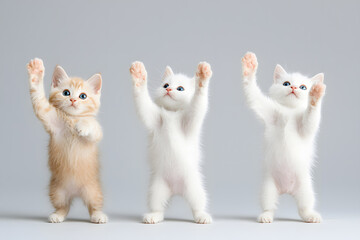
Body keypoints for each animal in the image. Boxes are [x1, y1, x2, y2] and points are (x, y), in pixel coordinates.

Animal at [27, 57, 107, 223]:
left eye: (83, 96)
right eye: (66, 92)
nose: (73, 99)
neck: (72, 118)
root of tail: (75, 192)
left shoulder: (97, 132)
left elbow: (93, 127)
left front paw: (82, 126)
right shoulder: (48, 116)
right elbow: (39, 101)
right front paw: (36, 73)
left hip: (93, 190)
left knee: (94, 205)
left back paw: (98, 215)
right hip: (57, 191)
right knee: (64, 206)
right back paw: (57, 215)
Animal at [242, 52, 326, 223]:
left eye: (303, 87)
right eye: (286, 83)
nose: (293, 88)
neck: (290, 110)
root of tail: (286, 189)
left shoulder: (306, 127)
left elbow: (311, 118)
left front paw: (315, 96)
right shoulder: (269, 112)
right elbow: (252, 95)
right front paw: (249, 66)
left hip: (305, 188)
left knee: (304, 208)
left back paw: (311, 216)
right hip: (268, 188)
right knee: (269, 206)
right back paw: (266, 216)